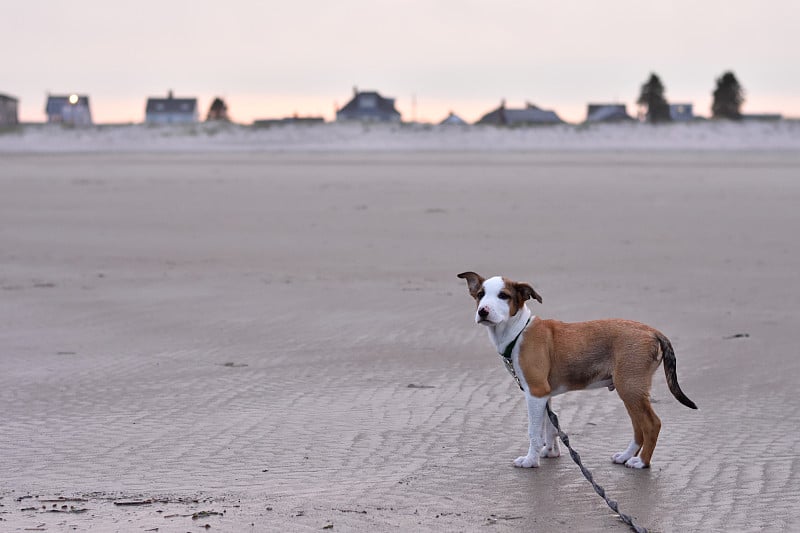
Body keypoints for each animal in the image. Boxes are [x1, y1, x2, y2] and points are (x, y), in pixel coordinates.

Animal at [460, 272, 696, 468]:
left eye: (503, 296)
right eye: (480, 295)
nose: (483, 311)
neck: (518, 331)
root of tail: (652, 331)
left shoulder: (535, 392)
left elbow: (534, 431)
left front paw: (530, 460)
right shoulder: (543, 394)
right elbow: (550, 426)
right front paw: (550, 452)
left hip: (630, 388)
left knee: (652, 424)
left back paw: (641, 462)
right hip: (631, 390)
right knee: (639, 427)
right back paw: (626, 456)